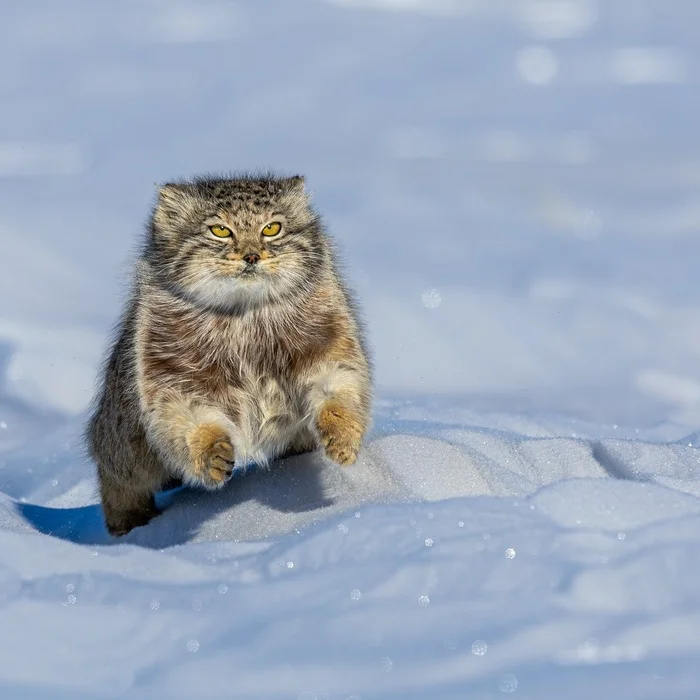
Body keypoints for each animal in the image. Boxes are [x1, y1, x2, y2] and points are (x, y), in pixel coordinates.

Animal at [86, 175, 372, 536]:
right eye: (220, 230)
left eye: (272, 228)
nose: (251, 256)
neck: (243, 316)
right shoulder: (171, 376)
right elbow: (190, 420)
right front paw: (212, 453)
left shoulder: (326, 346)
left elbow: (339, 391)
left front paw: (342, 439)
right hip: (125, 443)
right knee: (118, 480)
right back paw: (127, 525)